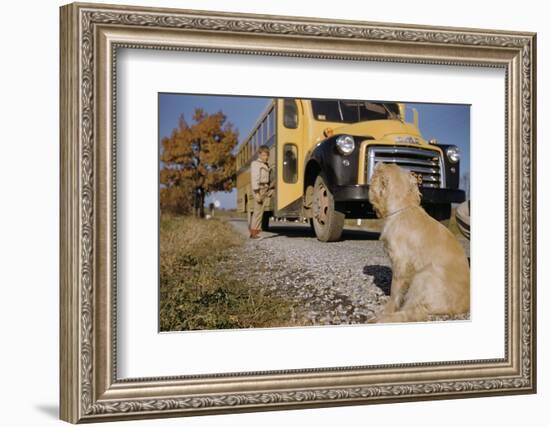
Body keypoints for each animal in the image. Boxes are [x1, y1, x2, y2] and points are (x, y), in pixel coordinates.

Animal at [370, 164, 470, 324]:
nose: (377, 164)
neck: (403, 207)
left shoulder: (401, 263)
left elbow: (394, 292)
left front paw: (387, 309)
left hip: (423, 276)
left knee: (415, 312)